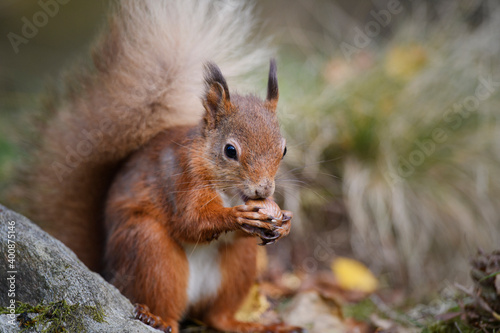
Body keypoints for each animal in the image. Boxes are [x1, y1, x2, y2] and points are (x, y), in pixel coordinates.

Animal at [18, 0, 300, 332]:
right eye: (230, 150)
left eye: (283, 149)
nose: (263, 190)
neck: (226, 188)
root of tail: (106, 271)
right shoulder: (181, 179)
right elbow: (192, 221)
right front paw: (235, 216)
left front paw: (286, 222)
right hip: (150, 250)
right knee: (165, 300)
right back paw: (157, 317)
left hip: (238, 263)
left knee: (217, 316)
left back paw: (247, 324)